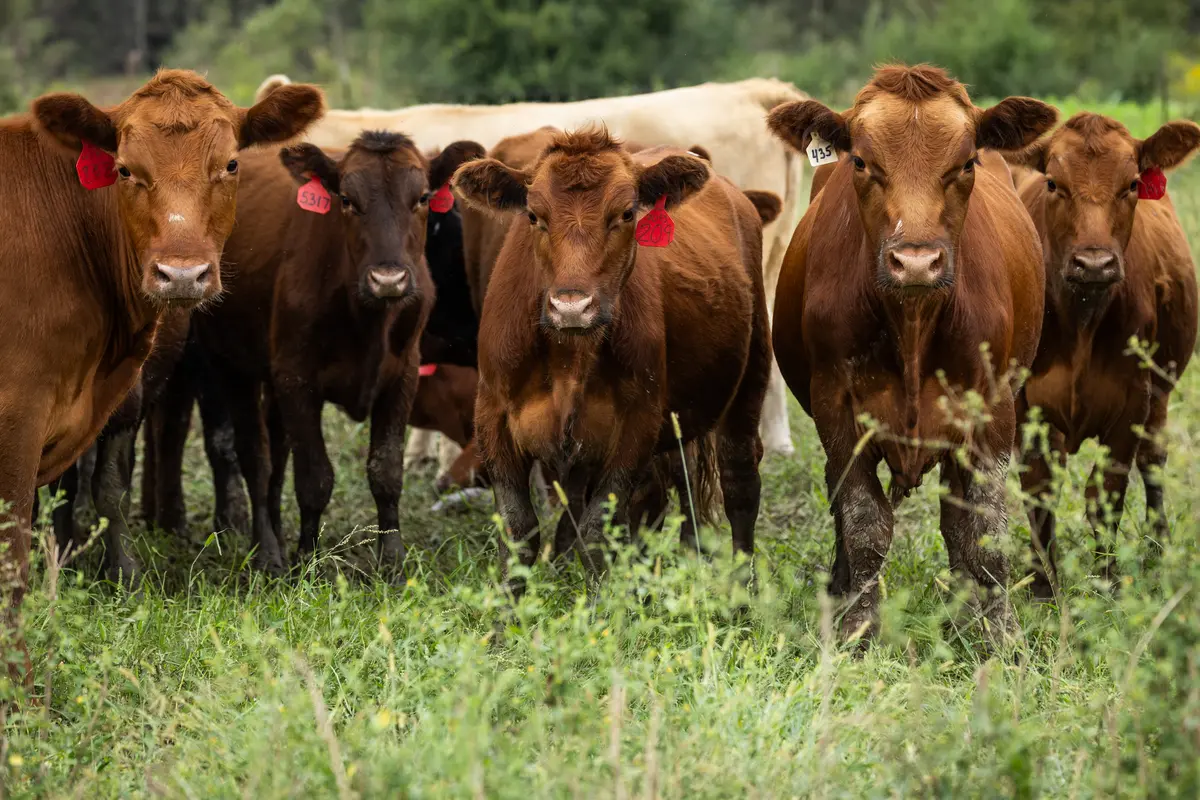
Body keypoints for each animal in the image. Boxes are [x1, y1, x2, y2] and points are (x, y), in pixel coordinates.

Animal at [191, 131, 486, 575]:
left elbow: (386, 472)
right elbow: (314, 477)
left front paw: (392, 561)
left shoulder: (403, 376)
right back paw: (268, 551)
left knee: (277, 455)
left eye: (421, 198)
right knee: (256, 458)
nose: (388, 279)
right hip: (230, 364)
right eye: (347, 199)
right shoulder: (297, 379)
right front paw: (307, 559)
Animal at [451, 129, 775, 588]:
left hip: (749, 381)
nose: (572, 306)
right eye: (533, 215)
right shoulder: (493, 418)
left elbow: (595, 531)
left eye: (625, 214)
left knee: (739, 483)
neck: (570, 353)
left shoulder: (635, 428)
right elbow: (519, 531)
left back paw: (743, 590)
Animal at [766, 64, 1057, 646]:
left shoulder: (993, 412)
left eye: (965, 163)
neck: (912, 325)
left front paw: (1001, 637)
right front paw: (858, 629)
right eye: (861, 161)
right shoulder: (837, 411)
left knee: (955, 520)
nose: (917, 261)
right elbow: (863, 525)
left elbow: (984, 530)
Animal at [1009, 112, 1200, 597]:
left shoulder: (1134, 403)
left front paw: (1108, 582)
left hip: (1162, 397)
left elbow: (1106, 496)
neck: (1082, 319)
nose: (1094, 264)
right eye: (1053, 183)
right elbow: (1039, 492)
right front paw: (1042, 587)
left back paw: (1158, 547)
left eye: (1131, 184)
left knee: (1153, 464)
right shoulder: (1025, 407)